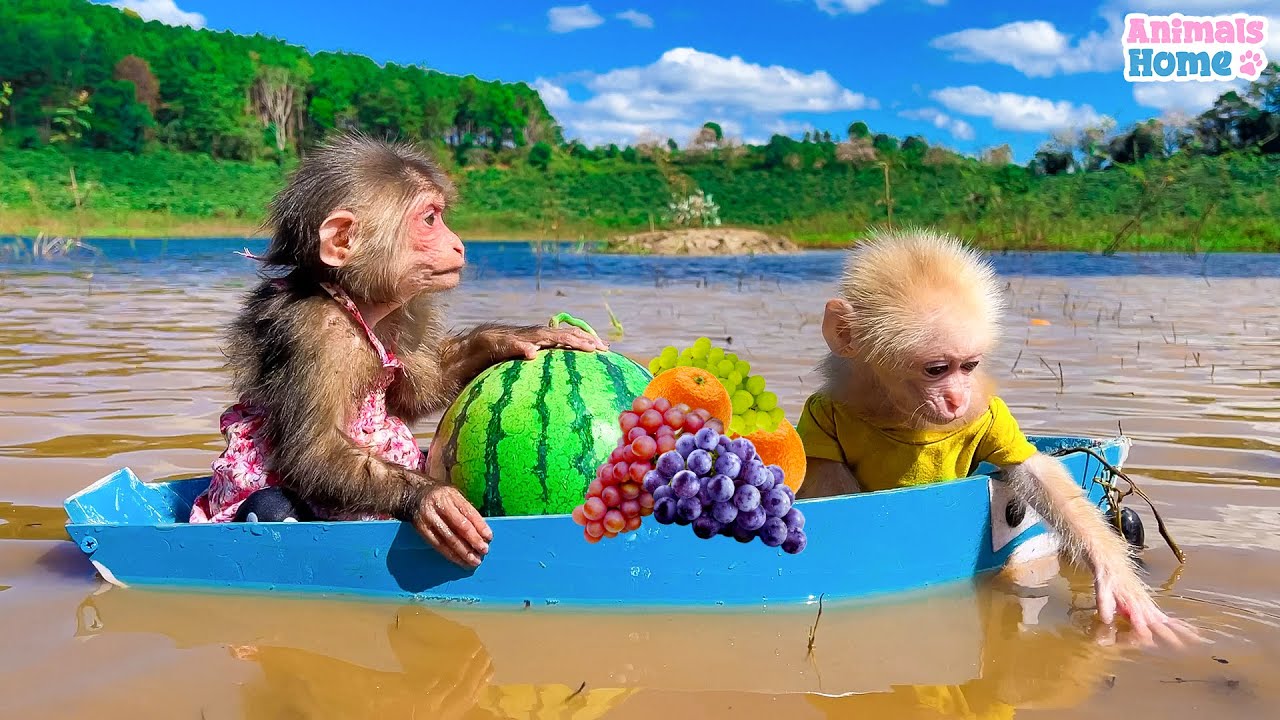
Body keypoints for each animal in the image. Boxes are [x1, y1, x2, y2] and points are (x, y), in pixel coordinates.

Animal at [188, 132, 607, 569]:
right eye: (430, 220)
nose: (458, 245)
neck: (348, 298)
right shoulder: (315, 336)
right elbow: (314, 451)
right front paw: (431, 498)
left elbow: (415, 394)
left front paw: (509, 337)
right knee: (273, 504)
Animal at [795, 226, 1201, 647]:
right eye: (936, 369)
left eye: (969, 366)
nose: (957, 399)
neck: (902, 415)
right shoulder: (819, 412)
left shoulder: (991, 412)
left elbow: (1033, 471)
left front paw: (1118, 579)